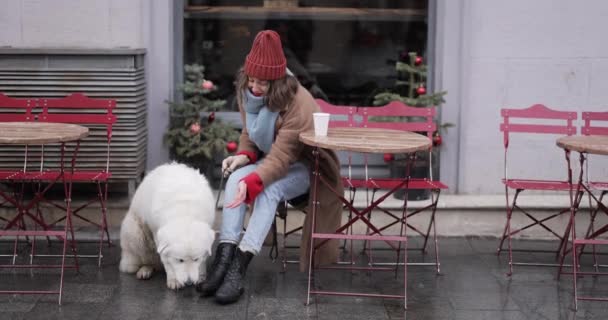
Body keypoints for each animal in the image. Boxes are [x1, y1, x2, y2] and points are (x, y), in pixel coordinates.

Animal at [119, 162, 216, 290]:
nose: (189, 282)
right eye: (180, 260)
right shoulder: (157, 233)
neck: (185, 212)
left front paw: (200, 275)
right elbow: (166, 260)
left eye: (196, 259)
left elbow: (203, 259)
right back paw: (144, 270)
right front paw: (174, 280)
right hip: (134, 233)